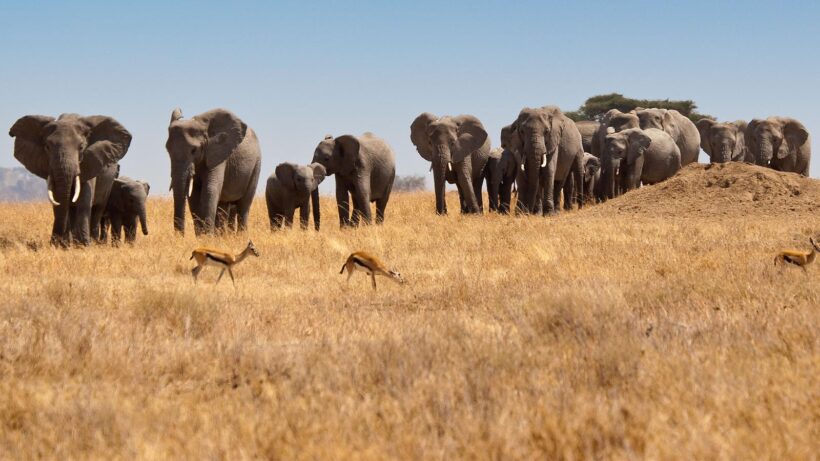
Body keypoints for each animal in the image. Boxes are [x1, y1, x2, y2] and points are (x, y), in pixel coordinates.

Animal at [8, 113, 133, 246]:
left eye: (81, 147)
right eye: (47, 147)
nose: (54, 241)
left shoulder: (90, 162)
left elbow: (84, 201)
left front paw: (84, 245)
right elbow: (58, 200)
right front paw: (61, 245)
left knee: (97, 209)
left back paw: (93, 242)